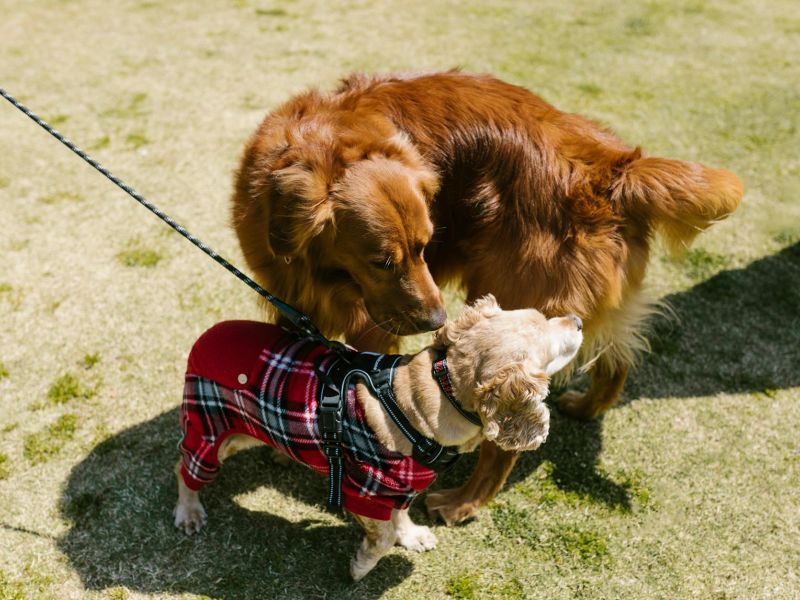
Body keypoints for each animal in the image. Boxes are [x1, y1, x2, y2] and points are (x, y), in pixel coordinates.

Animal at [173, 295, 583, 579]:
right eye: (550, 344)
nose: (578, 320)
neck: (435, 394)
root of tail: (206, 336)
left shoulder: (400, 486)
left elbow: (400, 517)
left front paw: (412, 535)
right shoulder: (364, 492)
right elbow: (382, 537)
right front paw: (361, 567)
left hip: (246, 429)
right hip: (208, 426)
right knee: (185, 466)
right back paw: (189, 512)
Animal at [230, 70, 743, 524]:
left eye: (426, 245)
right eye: (382, 261)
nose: (436, 321)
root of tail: (611, 169)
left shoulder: (370, 328)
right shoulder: (290, 300)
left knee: (504, 439)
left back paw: (462, 502)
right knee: (617, 361)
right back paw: (586, 407)